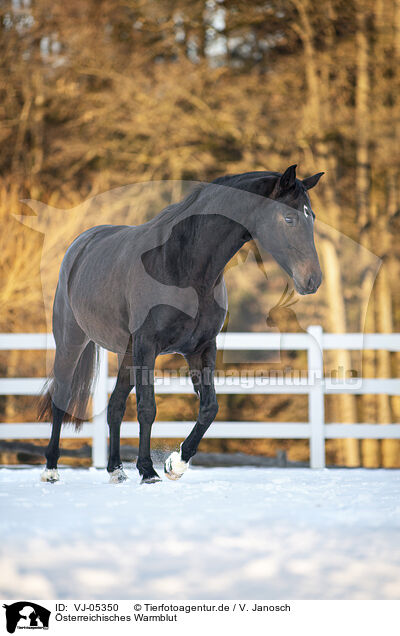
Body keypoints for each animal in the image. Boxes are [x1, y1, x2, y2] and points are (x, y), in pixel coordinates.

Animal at [39, 163, 324, 482]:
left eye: (311, 216)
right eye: (289, 218)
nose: (312, 280)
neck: (182, 265)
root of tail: (80, 245)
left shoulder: (200, 348)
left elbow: (209, 408)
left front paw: (176, 462)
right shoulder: (149, 346)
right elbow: (147, 408)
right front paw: (148, 470)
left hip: (127, 353)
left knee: (115, 406)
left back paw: (116, 470)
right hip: (72, 342)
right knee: (61, 397)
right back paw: (51, 469)